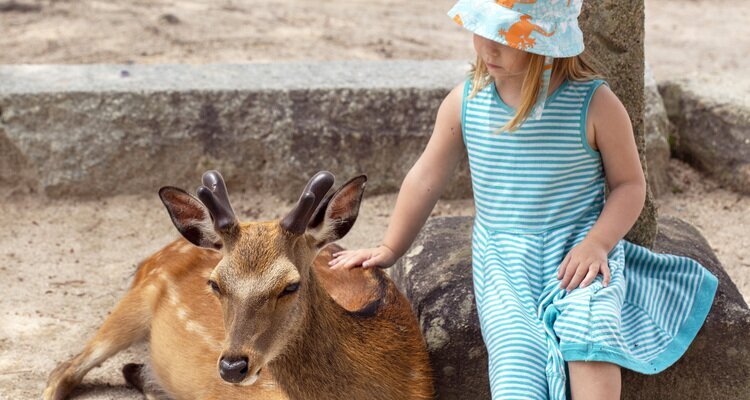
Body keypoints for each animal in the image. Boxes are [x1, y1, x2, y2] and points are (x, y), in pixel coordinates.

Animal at [43, 170, 434, 400]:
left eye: (290, 285)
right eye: (215, 284)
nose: (232, 366)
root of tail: (148, 259)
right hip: (132, 305)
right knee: (63, 371)